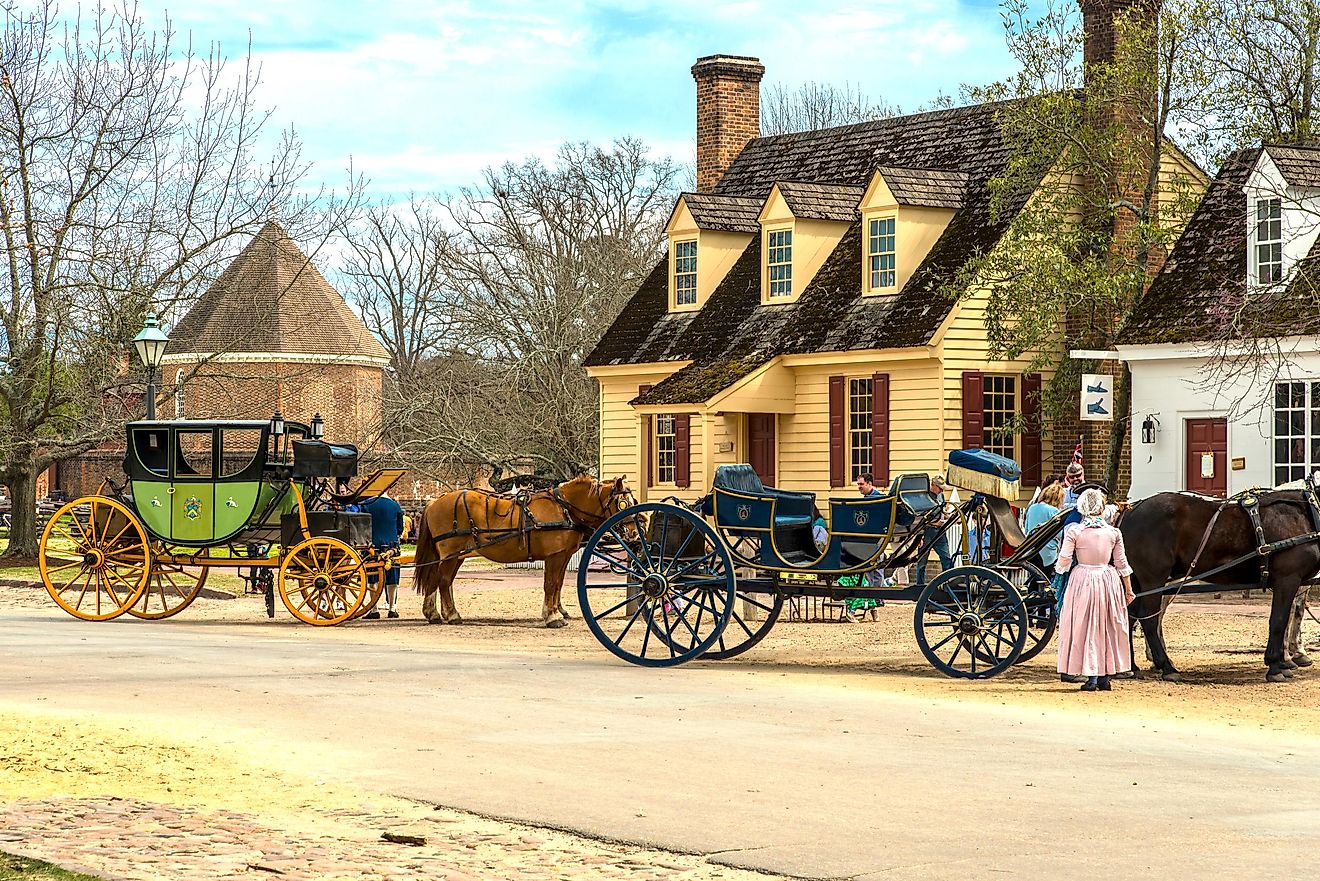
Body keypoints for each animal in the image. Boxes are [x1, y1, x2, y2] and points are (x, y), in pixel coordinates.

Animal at [414, 475, 636, 626]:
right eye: (624, 503)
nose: (634, 532)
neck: (564, 507)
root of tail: (434, 502)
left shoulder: (563, 556)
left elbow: (558, 585)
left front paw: (556, 612)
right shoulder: (554, 556)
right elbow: (551, 584)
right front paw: (552, 617)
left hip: (455, 555)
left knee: (436, 580)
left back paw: (433, 614)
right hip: (450, 554)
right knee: (443, 581)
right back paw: (451, 615)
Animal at [1124, 493, 1320, 686]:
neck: (1303, 512)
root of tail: (1131, 510)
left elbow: (1287, 618)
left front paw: (1283, 662)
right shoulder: (1287, 579)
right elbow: (1279, 621)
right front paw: (1275, 666)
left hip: (1135, 582)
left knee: (1129, 617)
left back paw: (1131, 667)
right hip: (1153, 579)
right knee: (1149, 620)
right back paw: (1166, 667)